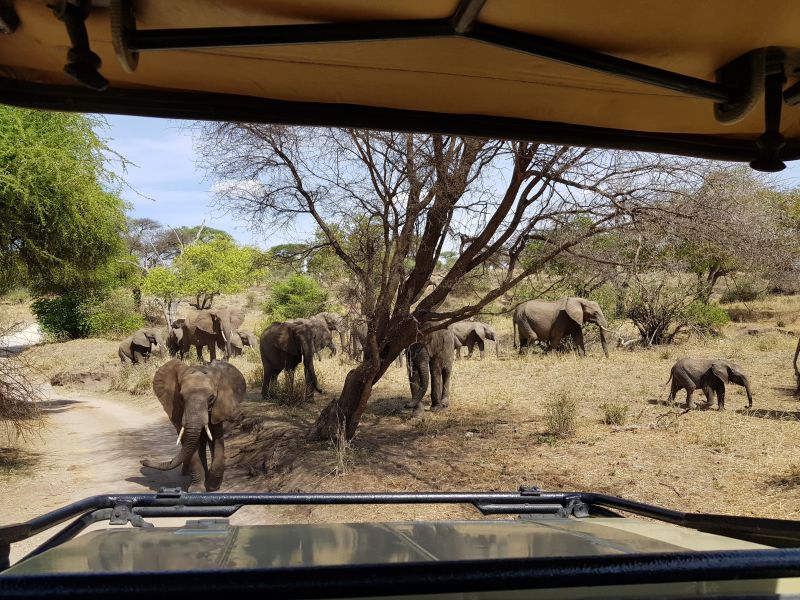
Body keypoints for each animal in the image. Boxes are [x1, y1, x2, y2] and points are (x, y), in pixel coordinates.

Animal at [141, 358, 245, 490]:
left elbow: (216, 438)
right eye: (181, 398)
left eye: (211, 398)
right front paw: (197, 489)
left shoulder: (218, 407)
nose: (143, 460)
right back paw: (187, 473)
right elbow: (191, 444)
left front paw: (212, 486)